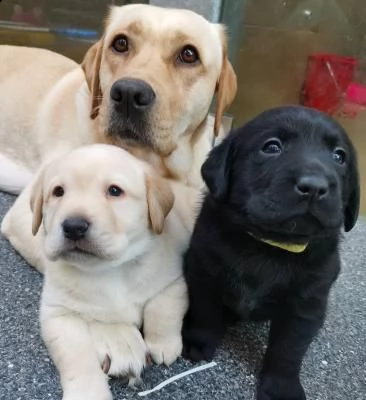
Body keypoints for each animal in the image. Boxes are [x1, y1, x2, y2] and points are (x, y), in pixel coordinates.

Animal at [29, 144, 194, 400]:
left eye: (115, 191)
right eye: (58, 192)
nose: (73, 226)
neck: (110, 268)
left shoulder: (173, 280)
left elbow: (163, 308)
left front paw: (163, 344)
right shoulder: (58, 314)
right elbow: (79, 358)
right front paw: (87, 392)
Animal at [182, 106, 358, 400]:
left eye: (339, 156)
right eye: (272, 147)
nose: (315, 186)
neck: (270, 245)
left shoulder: (306, 305)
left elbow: (288, 348)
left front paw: (281, 386)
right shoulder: (203, 272)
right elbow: (205, 312)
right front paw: (198, 341)